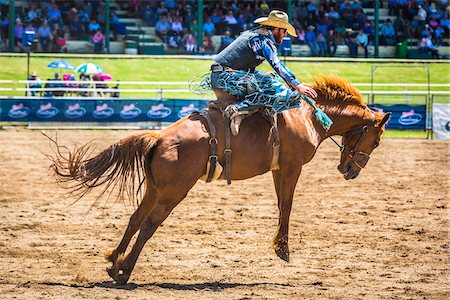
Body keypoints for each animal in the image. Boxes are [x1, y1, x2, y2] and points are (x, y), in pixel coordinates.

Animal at [46, 76, 390, 284]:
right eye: (376, 140)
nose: (350, 171)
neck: (307, 116)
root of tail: (159, 138)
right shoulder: (291, 167)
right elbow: (288, 205)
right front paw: (283, 249)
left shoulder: (279, 169)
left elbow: (282, 204)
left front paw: (280, 246)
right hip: (173, 192)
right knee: (149, 225)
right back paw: (125, 272)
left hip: (155, 189)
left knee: (135, 219)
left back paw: (114, 262)